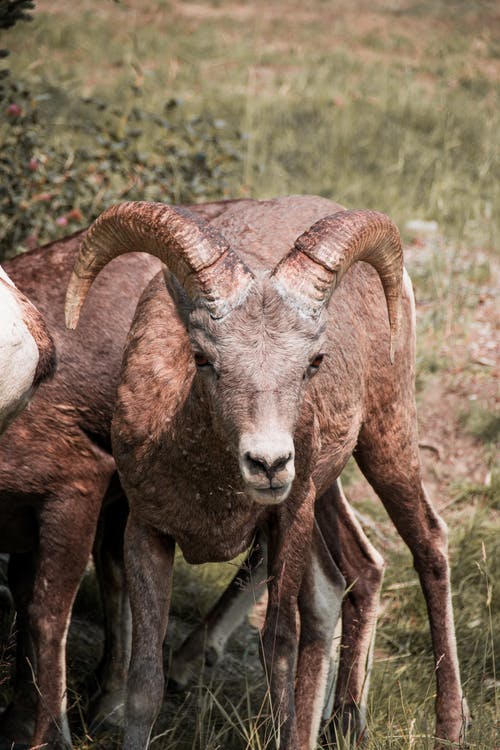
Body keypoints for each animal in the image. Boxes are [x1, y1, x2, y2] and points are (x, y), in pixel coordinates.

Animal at [67, 195, 468, 750]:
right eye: (202, 357)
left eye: (314, 360)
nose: (269, 464)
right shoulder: (146, 533)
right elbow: (145, 680)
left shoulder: (286, 523)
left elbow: (279, 649)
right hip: (327, 488)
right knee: (362, 568)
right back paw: (345, 723)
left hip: (386, 439)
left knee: (428, 543)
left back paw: (450, 724)